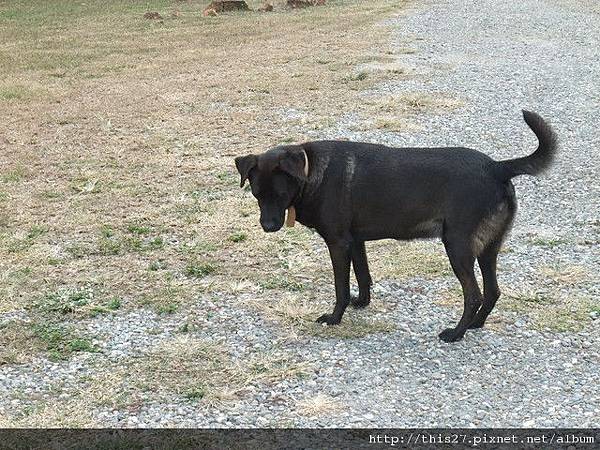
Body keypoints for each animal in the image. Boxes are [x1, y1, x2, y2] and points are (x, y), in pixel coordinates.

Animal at [234, 110, 556, 342]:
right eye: (256, 194)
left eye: (279, 195)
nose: (268, 226)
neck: (310, 169)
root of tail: (496, 167)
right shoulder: (355, 241)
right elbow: (363, 277)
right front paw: (361, 303)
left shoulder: (338, 243)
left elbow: (341, 287)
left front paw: (335, 317)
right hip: (488, 247)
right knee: (492, 291)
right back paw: (476, 325)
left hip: (458, 245)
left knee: (474, 294)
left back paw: (456, 333)